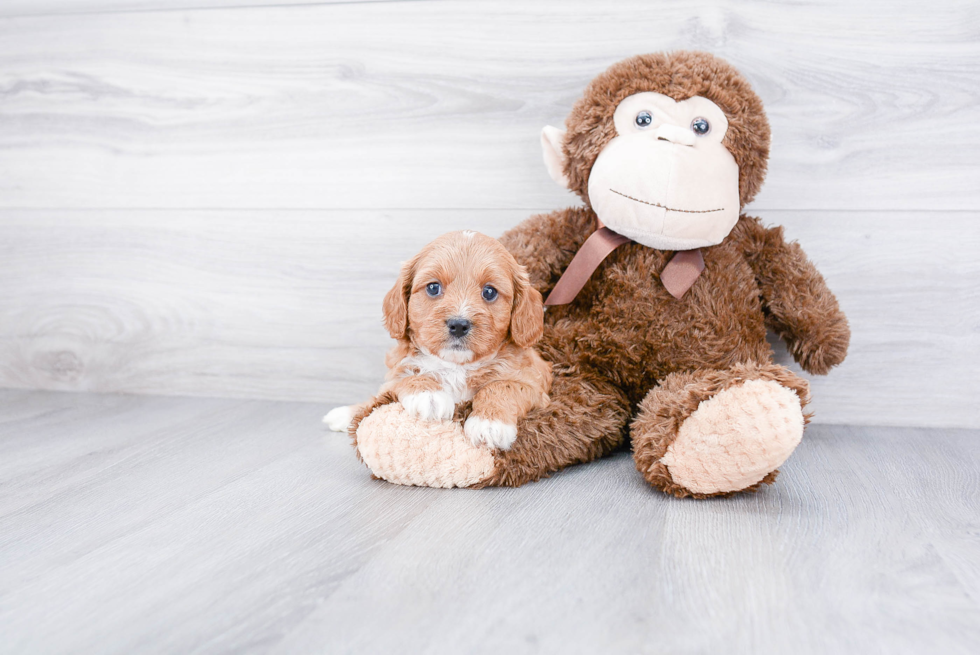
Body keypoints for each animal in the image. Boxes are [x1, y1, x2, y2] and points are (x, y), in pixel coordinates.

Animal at [324, 231, 548, 452]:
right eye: (433, 288)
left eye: (489, 292)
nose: (459, 325)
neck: (456, 365)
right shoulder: (396, 371)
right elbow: (402, 378)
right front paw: (428, 395)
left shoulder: (537, 387)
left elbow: (503, 386)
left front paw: (489, 424)